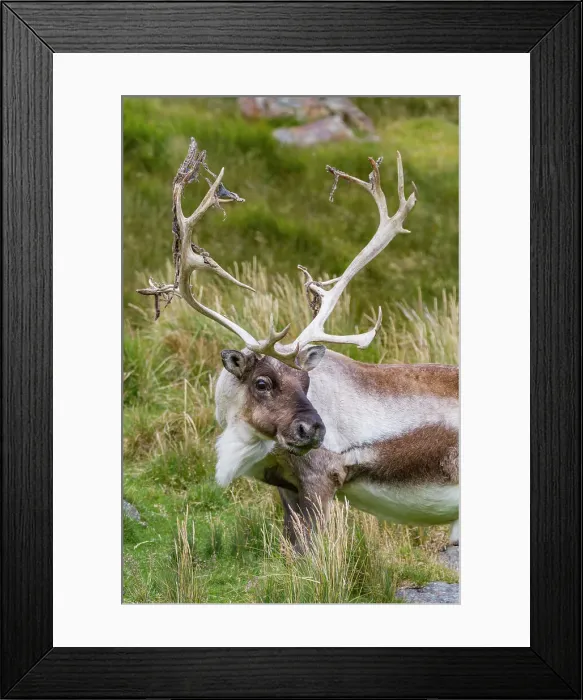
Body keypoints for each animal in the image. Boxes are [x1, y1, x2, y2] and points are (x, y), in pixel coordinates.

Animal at [138, 138, 459, 550]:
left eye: (306, 382)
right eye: (261, 382)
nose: (314, 430)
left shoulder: (321, 479)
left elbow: (317, 552)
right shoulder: (286, 488)